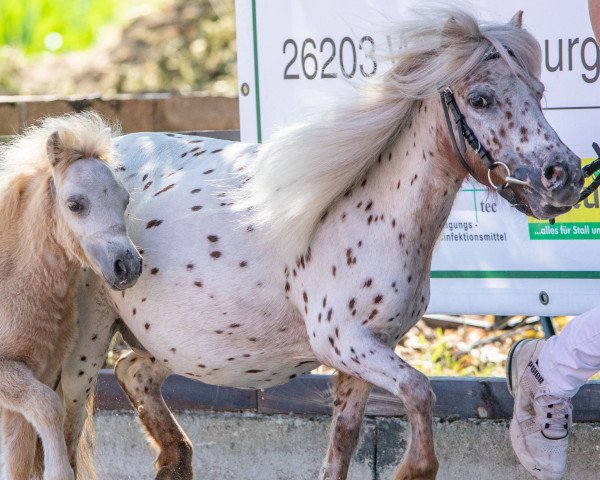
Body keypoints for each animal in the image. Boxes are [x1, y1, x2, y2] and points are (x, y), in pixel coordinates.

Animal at [0, 113, 142, 480]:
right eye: (75, 204)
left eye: (125, 200)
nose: (128, 266)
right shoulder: (11, 375)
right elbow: (49, 409)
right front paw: (59, 471)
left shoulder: (37, 375)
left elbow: (19, 457)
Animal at [59, 7, 580, 480]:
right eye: (481, 98)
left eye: (539, 92)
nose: (564, 176)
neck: (366, 211)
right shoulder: (345, 342)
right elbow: (420, 392)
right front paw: (412, 469)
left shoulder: (363, 360)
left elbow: (343, 447)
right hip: (84, 348)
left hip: (167, 346)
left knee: (132, 374)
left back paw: (175, 459)